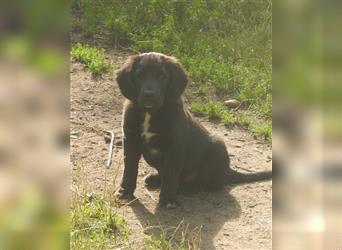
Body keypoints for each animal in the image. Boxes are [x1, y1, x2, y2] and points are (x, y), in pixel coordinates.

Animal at [115, 51, 272, 208]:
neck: (150, 113)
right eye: (140, 75)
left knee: (205, 185)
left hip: (217, 148)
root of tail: (228, 171)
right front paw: (125, 191)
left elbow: (171, 175)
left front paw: (168, 199)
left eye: (162, 76)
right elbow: (129, 169)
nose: (149, 94)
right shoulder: (130, 140)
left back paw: (182, 189)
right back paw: (155, 179)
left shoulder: (174, 147)